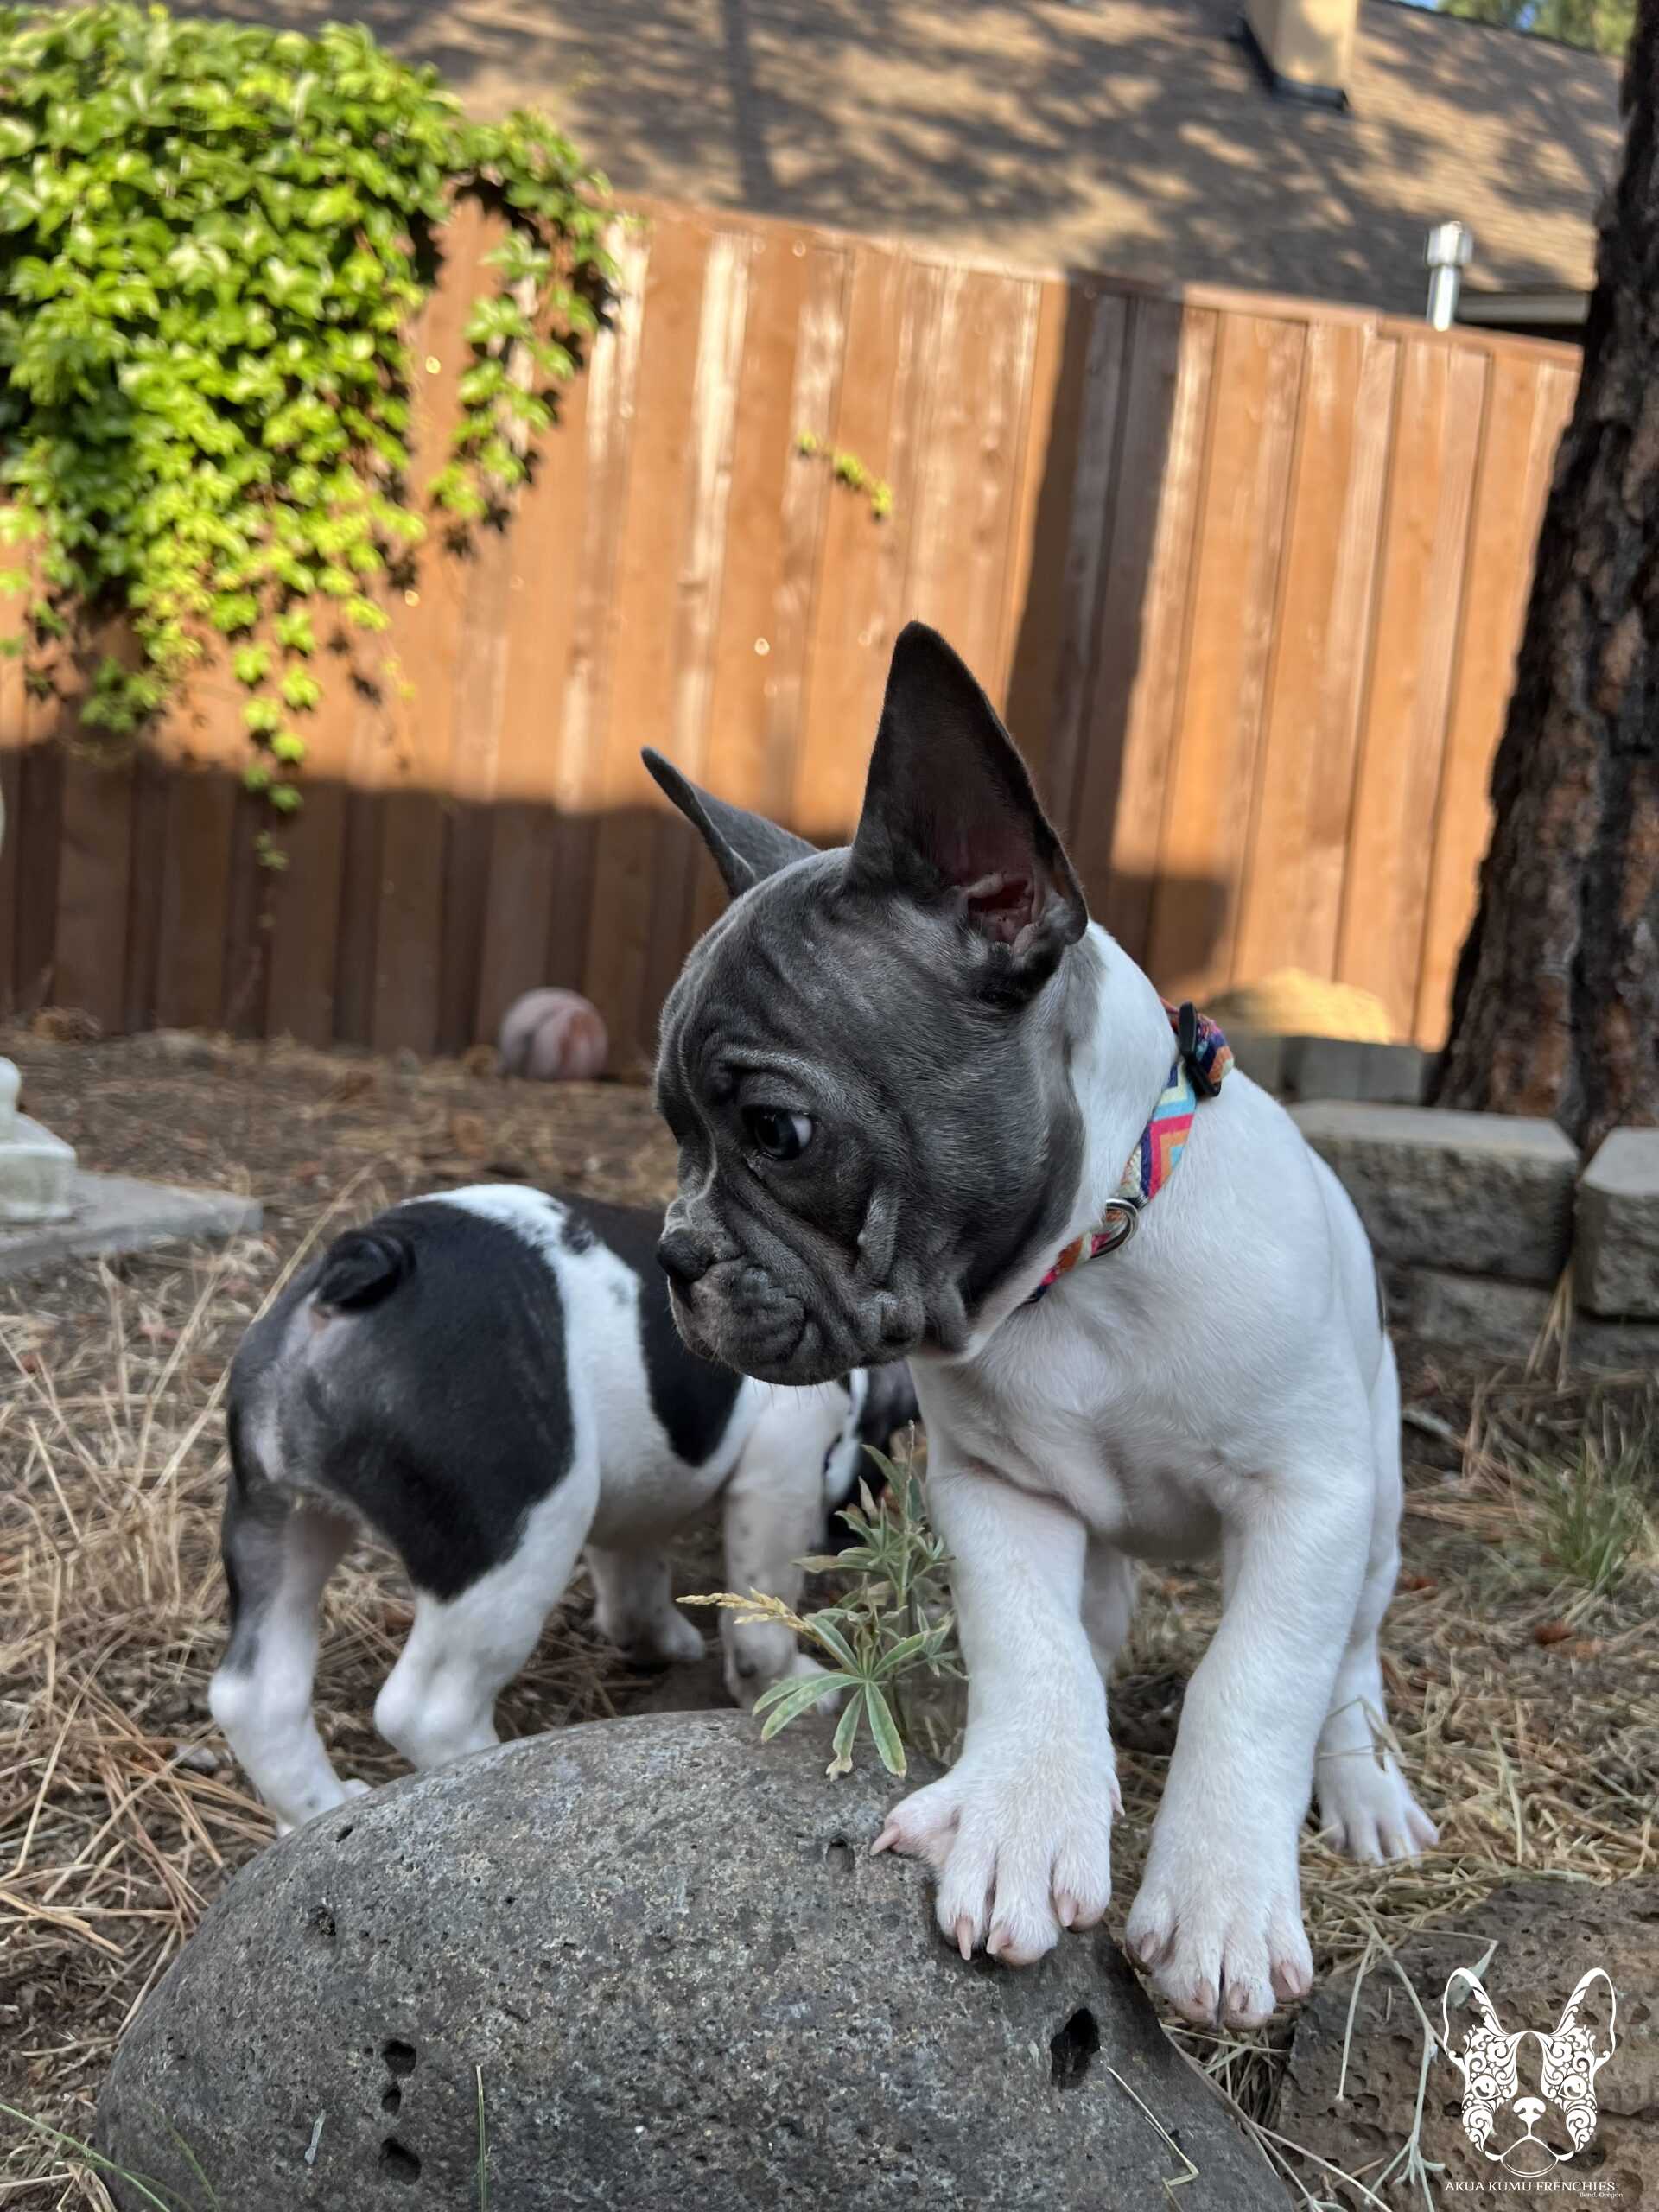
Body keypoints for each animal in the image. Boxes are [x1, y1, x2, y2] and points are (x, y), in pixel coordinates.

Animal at [211, 1185, 925, 1840]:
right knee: (428, 1710)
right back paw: (486, 1770)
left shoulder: (637, 1498)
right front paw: (787, 1687)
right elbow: (761, 1615)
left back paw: (319, 1811)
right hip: (514, 1540)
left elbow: (634, 1571)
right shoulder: (782, 1471)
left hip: (273, 1518)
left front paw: (654, 1638)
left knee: (256, 1694)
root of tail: (364, 1265)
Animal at [650, 619, 1442, 2025]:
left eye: (777, 1134)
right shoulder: (998, 1491)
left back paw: (1360, 1788)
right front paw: (1023, 1816)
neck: (1085, 1269)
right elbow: (1031, 1645)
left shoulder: (1308, 1501)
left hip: (1382, 1514)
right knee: (1099, 1619)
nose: (674, 1252)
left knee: (1346, 1668)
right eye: (668, 1124)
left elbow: (1255, 1682)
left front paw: (1223, 1901)